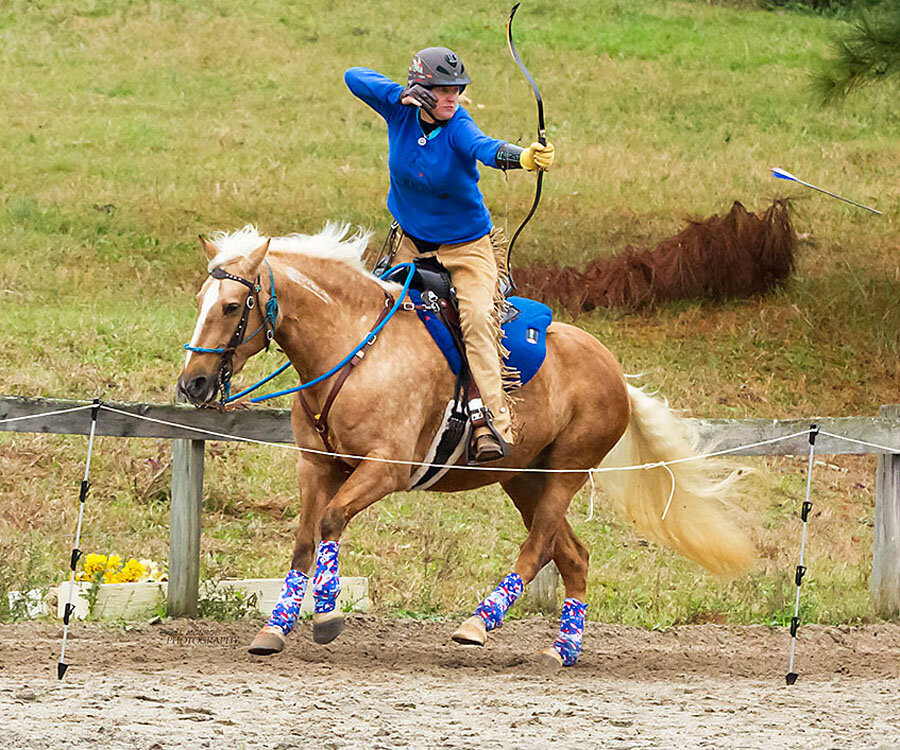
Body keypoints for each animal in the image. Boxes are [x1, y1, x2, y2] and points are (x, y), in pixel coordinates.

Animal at [174, 223, 752, 668]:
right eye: (199, 302)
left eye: (232, 306)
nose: (193, 384)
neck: (356, 349)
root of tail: (614, 371)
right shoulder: (315, 466)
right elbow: (302, 540)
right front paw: (276, 626)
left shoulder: (385, 468)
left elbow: (332, 521)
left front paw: (328, 615)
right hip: (525, 480)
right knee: (573, 555)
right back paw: (561, 650)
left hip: (566, 472)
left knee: (539, 548)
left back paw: (479, 622)